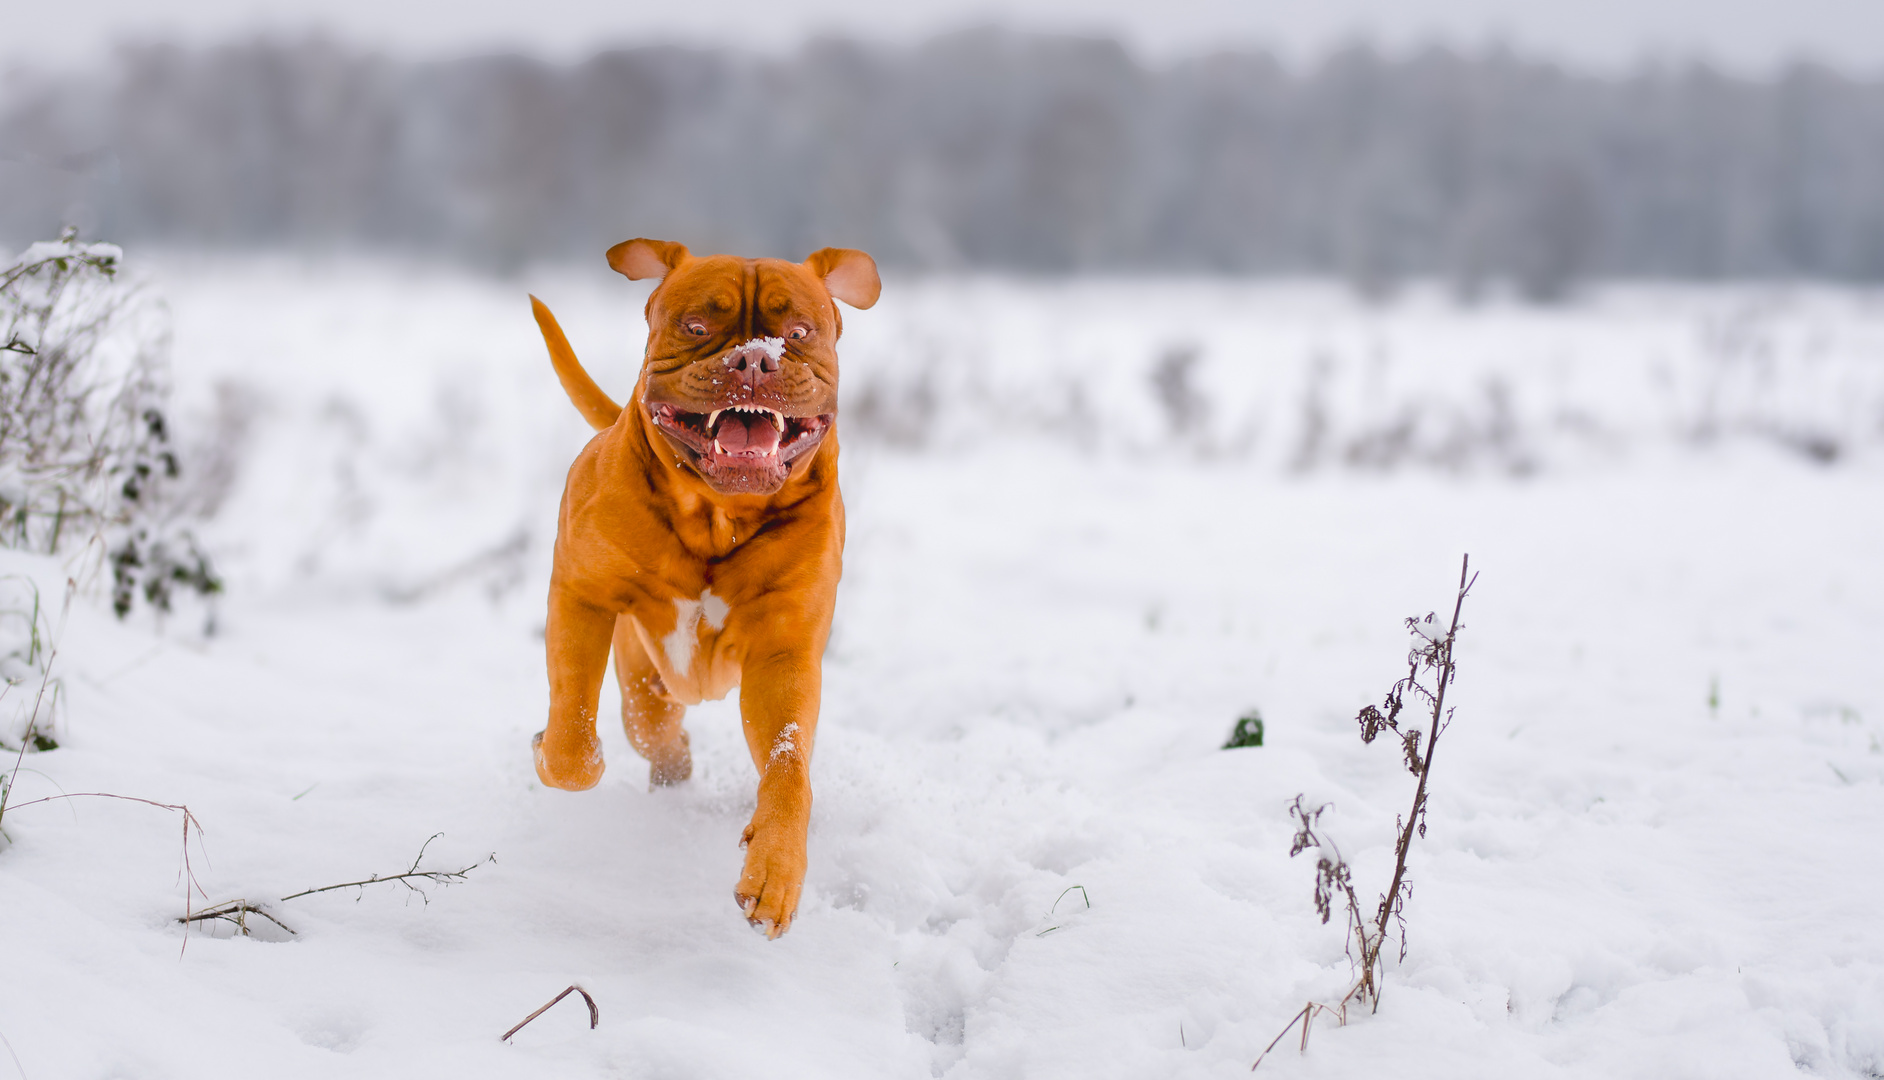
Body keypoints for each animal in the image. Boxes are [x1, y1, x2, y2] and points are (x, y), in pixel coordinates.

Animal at [527, 237, 877, 934]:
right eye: (695, 327)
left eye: (798, 333)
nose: (754, 357)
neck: (719, 514)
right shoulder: (582, 593)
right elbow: (572, 739)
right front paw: (556, 750)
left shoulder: (783, 655)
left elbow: (789, 768)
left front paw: (773, 872)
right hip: (645, 682)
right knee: (657, 732)